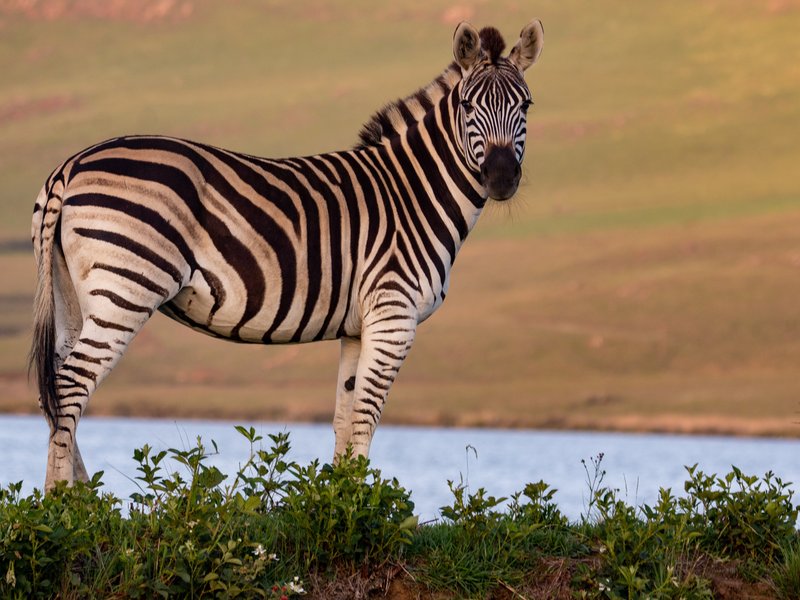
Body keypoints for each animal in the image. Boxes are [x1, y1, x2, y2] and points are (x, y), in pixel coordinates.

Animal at [30, 20, 544, 491]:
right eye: (467, 106)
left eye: (526, 105)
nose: (501, 177)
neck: (413, 193)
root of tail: (71, 165)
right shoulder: (394, 315)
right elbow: (366, 418)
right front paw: (363, 509)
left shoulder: (357, 327)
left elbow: (344, 418)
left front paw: (340, 504)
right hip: (127, 287)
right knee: (70, 385)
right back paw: (64, 502)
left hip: (72, 292)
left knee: (53, 387)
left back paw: (85, 500)